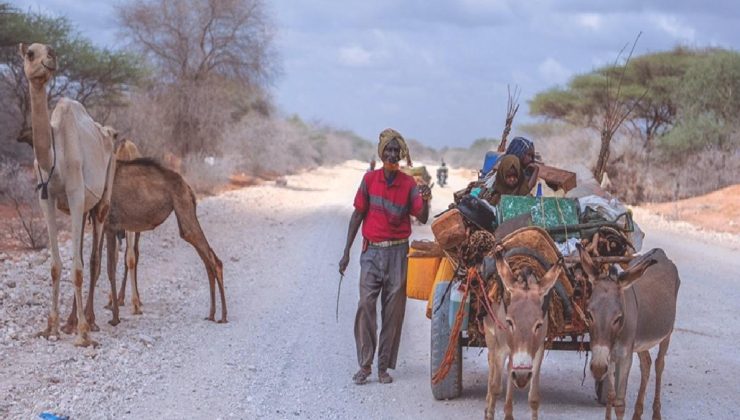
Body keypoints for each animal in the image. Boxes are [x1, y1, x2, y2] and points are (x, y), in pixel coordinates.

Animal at [20, 43, 117, 348]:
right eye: (30, 53)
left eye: (49, 49)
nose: (50, 58)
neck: (55, 156)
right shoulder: (46, 198)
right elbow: (56, 265)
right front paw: (51, 326)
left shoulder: (74, 194)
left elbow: (78, 267)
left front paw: (84, 335)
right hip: (84, 207)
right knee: (83, 257)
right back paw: (71, 321)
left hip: (103, 198)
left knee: (94, 260)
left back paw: (91, 320)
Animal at [64, 158, 225, 328]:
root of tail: (187, 186)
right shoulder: (101, 222)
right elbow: (94, 265)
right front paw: (74, 321)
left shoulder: (109, 225)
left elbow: (107, 268)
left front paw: (110, 317)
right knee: (207, 259)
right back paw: (212, 314)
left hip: (184, 209)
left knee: (213, 260)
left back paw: (222, 315)